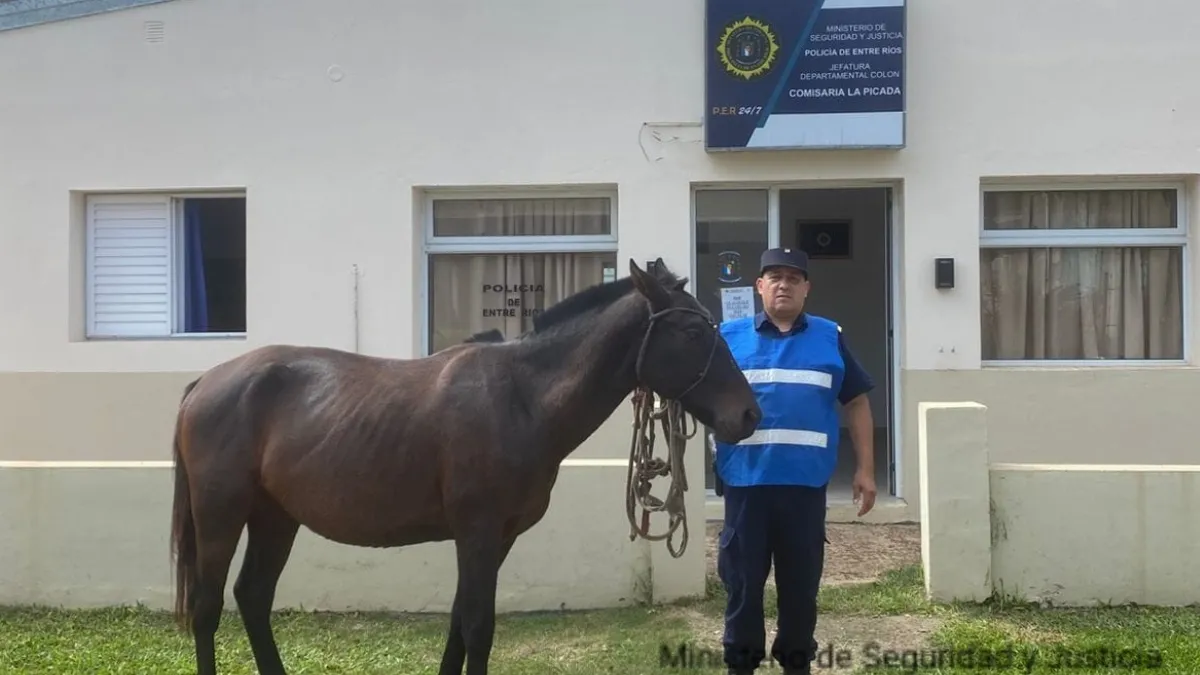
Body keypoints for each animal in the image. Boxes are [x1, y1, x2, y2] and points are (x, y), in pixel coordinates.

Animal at [168, 257, 762, 675]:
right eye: (692, 332)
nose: (749, 414)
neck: (523, 397)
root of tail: (206, 382)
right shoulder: (476, 531)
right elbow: (478, 627)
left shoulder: (497, 537)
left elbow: (459, 621)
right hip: (221, 516)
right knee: (207, 605)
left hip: (275, 517)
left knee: (253, 597)